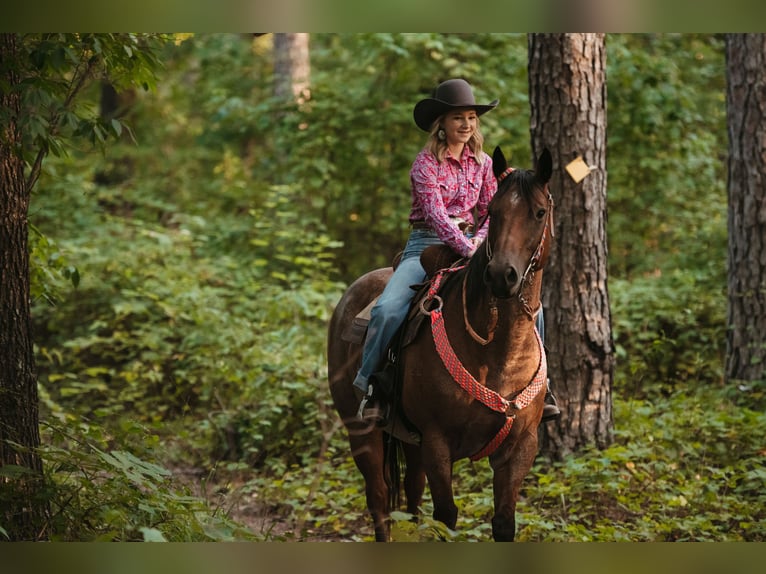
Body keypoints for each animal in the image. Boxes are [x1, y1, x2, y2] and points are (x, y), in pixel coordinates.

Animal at [328, 146, 556, 544]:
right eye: (494, 211)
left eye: (539, 212)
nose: (501, 275)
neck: (498, 353)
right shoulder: (438, 442)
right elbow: (446, 516)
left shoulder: (521, 447)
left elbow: (503, 522)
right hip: (362, 431)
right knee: (379, 500)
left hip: (410, 439)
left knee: (411, 496)